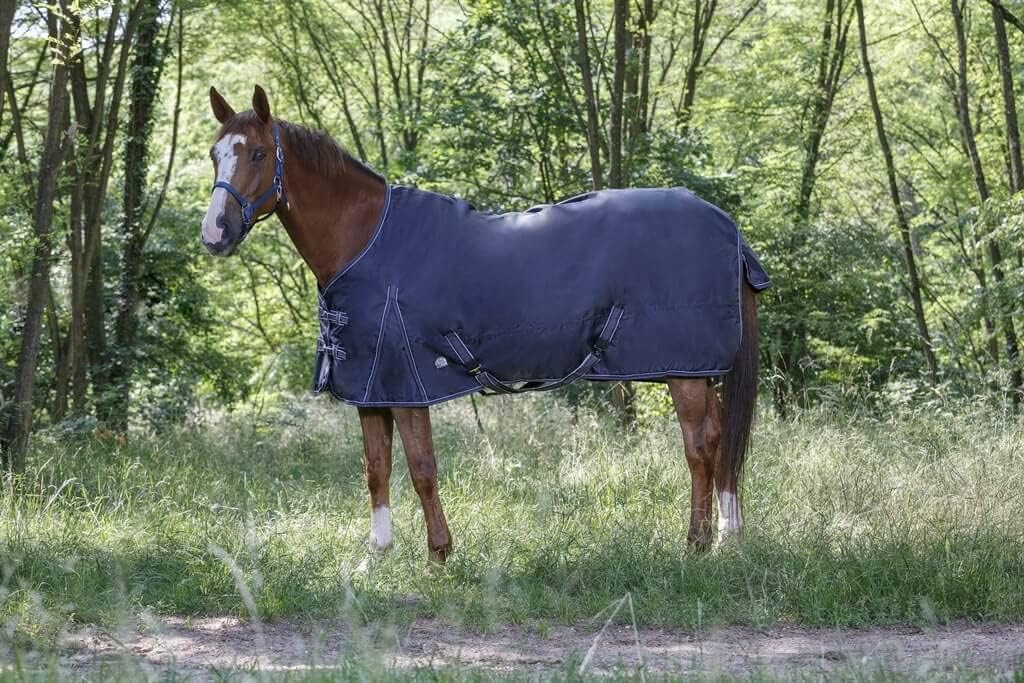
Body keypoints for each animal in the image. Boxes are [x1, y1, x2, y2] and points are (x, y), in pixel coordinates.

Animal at [200, 85, 767, 562]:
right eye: (214, 154)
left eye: (257, 153)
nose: (215, 233)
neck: (366, 240)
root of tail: (726, 226)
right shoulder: (372, 387)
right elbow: (376, 469)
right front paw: (376, 556)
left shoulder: (407, 384)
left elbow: (422, 469)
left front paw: (438, 555)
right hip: (696, 368)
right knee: (721, 437)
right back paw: (726, 534)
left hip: (683, 370)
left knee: (700, 445)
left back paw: (695, 544)